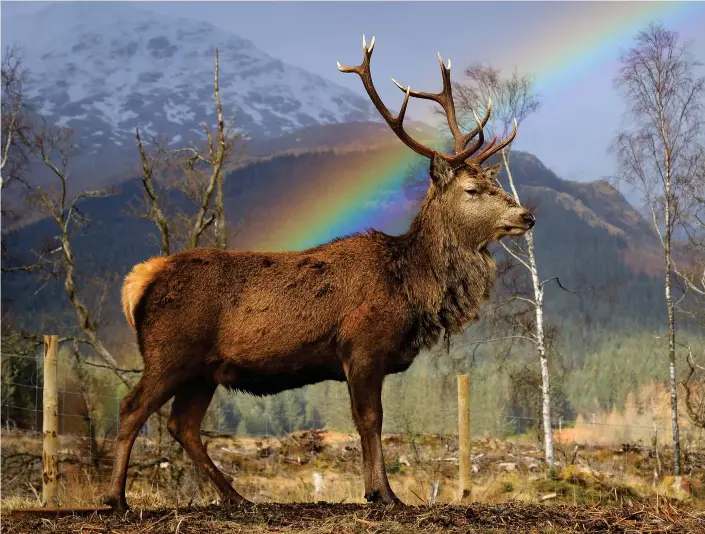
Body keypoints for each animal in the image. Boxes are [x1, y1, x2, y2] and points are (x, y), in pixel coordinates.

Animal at [103, 35, 532, 512]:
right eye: (473, 190)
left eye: (496, 185)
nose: (527, 215)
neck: (410, 287)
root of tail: (139, 280)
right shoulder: (362, 346)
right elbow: (370, 420)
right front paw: (384, 494)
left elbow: (368, 421)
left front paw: (376, 491)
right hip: (169, 351)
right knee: (131, 408)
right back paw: (116, 498)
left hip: (202, 369)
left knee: (182, 425)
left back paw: (236, 496)